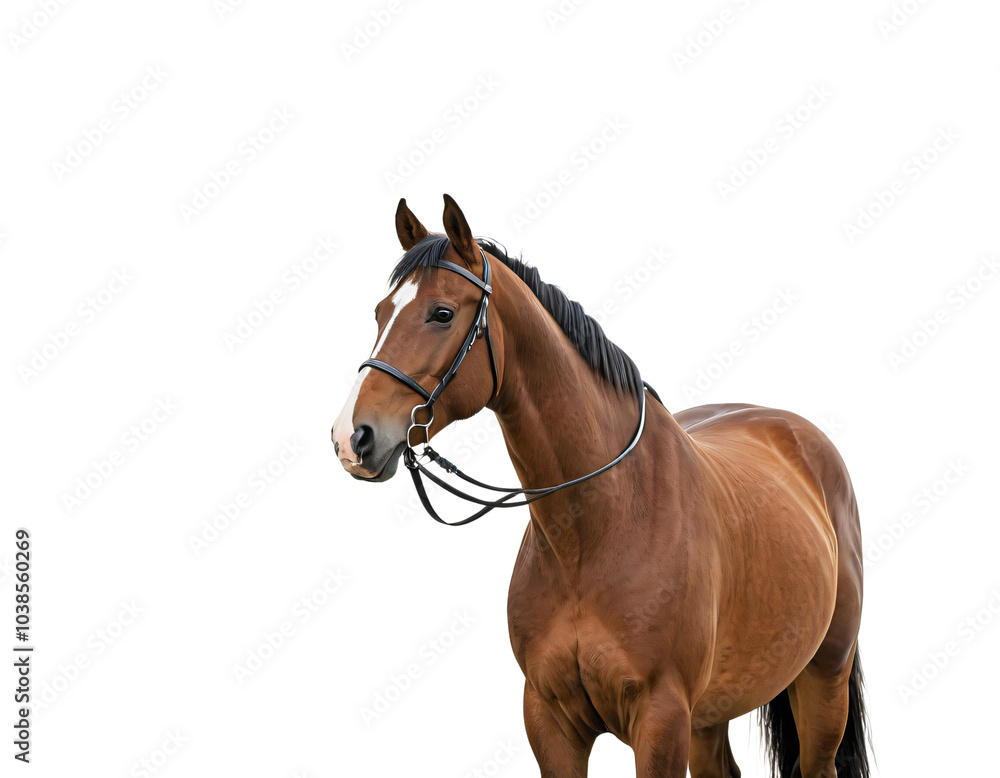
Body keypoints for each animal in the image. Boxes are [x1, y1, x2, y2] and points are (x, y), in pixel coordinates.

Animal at [331, 195, 870, 777]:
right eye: (381, 312)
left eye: (442, 313)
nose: (351, 437)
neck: (596, 529)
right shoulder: (550, 720)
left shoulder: (660, 720)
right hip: (712, 712)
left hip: (824, 677)